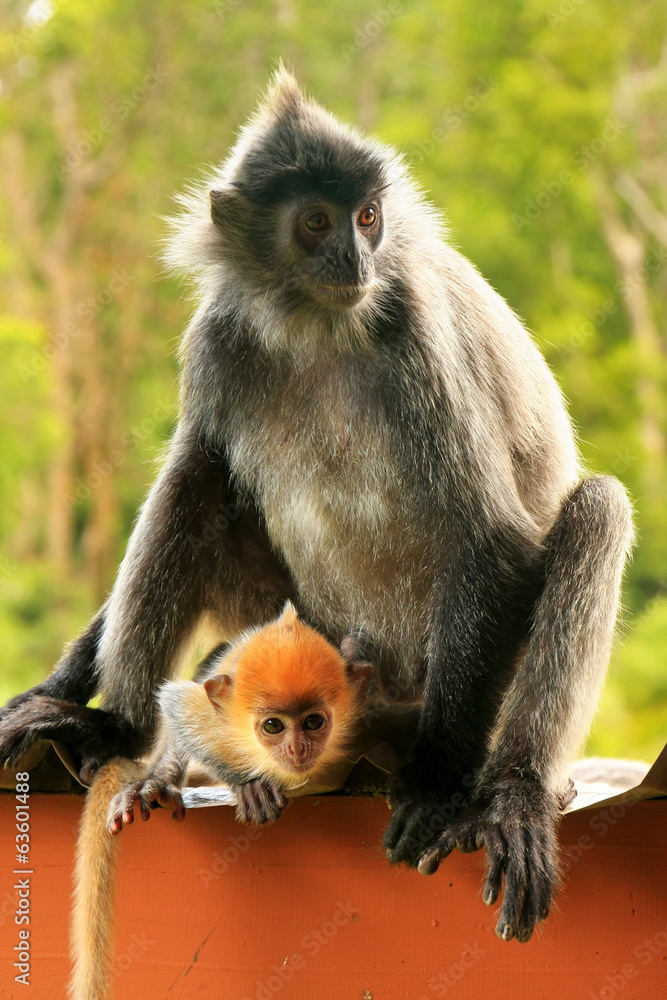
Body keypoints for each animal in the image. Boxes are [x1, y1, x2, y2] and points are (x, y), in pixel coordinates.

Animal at [0, 68, 634, 943]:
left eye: (366, 218)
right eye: (313, 223)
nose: (354, 257)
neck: (314, 324)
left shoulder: (415, 332)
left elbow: (493, 539)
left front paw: (437, 785)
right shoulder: (218, 338)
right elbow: (201, 466)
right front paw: (56, 696)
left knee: (598, 508)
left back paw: (517, 794)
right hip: (292, 634)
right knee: (198, 479)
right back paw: (113, 728)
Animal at [69, 602, 376, 1000]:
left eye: (312, 722)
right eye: (274, 726)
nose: (297, 749)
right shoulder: (210, 712)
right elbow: (176, 705)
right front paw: (248, 786)